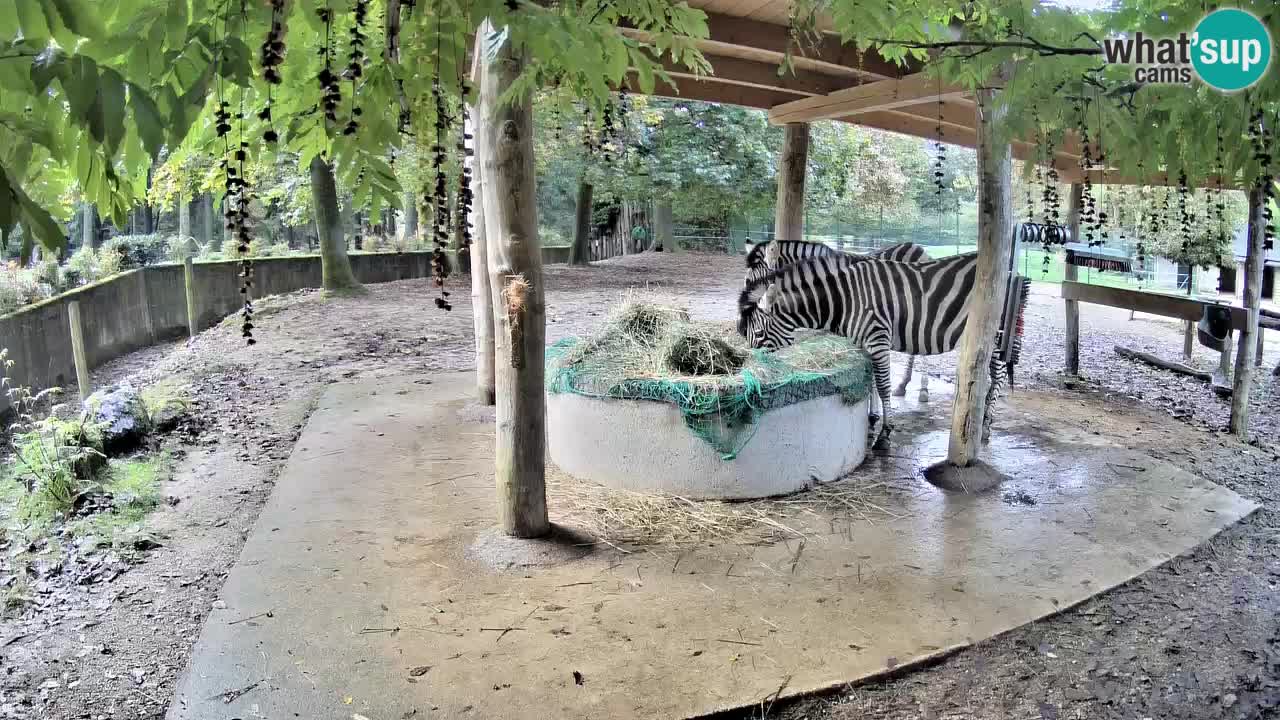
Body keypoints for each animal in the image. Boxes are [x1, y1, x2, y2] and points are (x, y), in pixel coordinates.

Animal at [742, 239, 942, 397]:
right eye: (746, 281)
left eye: (754, 283)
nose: (742, 324)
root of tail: (917, 247)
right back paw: (903, 385)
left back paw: (922, 390)